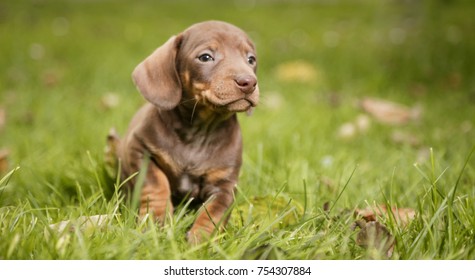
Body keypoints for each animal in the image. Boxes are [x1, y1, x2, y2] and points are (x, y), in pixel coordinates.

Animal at [115, 20, 260, 243]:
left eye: (251, 59)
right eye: (205, 57)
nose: (249, 83)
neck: (199, 131)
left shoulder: (225, 184)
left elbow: (215, 211)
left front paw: (201, 237)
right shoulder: (140, 150)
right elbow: (155, 184)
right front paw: (156, 221)